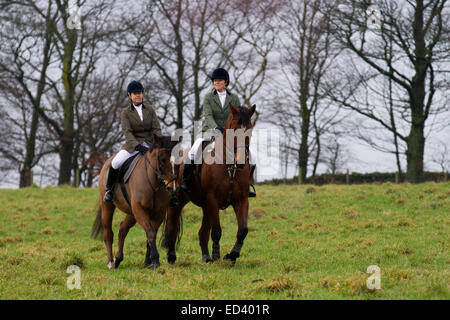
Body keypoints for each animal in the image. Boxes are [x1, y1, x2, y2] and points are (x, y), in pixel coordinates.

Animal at [91, 135, 178, 270]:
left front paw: (148, 262)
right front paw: (155, 261)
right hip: (107, 206)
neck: (153, 182)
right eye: (162, 160)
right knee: (108, 233)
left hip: (131, 213)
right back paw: (111, 261)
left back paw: (118, 259)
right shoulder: (139, 209)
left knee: (122, 229)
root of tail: (107, 162)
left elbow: (150, 234)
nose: (172, 187)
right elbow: (150, 233)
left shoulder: (159, 212)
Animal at [162, 104, 255, 264]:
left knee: (202, 232)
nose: (241, 162)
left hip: (206, 207)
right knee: (172, 227)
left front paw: (232, 255)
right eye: (234, 129)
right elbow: (217, 231)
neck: (230, 166)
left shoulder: (241, 200)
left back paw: (206, 257)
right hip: (178, 202)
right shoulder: (213, 199)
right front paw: (217, 255)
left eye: (249, 129)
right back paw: (171, 256)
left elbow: (243, 230)